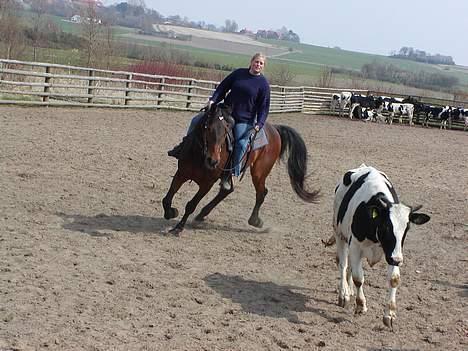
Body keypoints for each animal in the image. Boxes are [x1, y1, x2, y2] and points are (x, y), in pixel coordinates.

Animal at [163, 104, 320, 236]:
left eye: (225, 131)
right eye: (207, 127)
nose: (213, 161)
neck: (199, 156)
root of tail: (275, 129)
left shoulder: (207, 184)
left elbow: (191, 205)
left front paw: (178, 228)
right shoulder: (181, 173)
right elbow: (167, 198)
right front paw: (171, 212)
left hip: (259, 173)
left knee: (261, 192)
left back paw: (255, 220)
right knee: (227, 190)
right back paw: (202, 215)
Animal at [326, 165, 432, 330]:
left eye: (407, 228)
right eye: (386, 226)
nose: (397, 260)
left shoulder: (391, 250)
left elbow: (394, 279)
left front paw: (390, 314)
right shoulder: (356, 246)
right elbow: (358, 278)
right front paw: (360, 305)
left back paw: (349, 291)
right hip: (339, 234)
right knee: (342, 264)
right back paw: (344, 294)